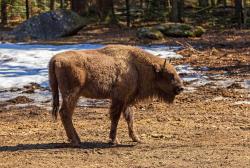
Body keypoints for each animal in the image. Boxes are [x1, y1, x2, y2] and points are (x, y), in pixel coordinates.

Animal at [48, 44, 184, 146]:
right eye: (170, 74)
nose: (181, 88)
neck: (136, 67)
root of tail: (55, 59)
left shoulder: (127, 100)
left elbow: (130, 118)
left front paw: (137, 139)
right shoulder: (119, 98)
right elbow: (116, 118)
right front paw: (113, 140)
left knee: (65, 114)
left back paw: (77, 139)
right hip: (72, 94)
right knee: (65, 113)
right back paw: (76, 141)